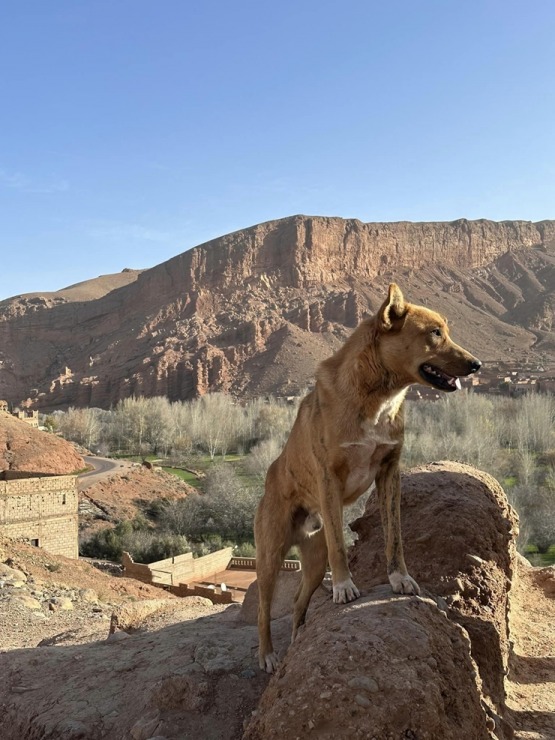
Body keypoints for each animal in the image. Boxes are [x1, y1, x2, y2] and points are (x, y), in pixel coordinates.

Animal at [255, 282, 482, 672]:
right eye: (434, 333)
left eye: (446, 330)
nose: (476, 364)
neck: (377, 397)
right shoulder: (329, 479)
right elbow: (340, 545)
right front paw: (345, 587)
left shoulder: (390, 472)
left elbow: (395, 536)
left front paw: (400, 578)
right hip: (270, 555)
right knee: (263, 609)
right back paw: (267, 655)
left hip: (313, 560)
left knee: (299, 600)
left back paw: (297, 640)